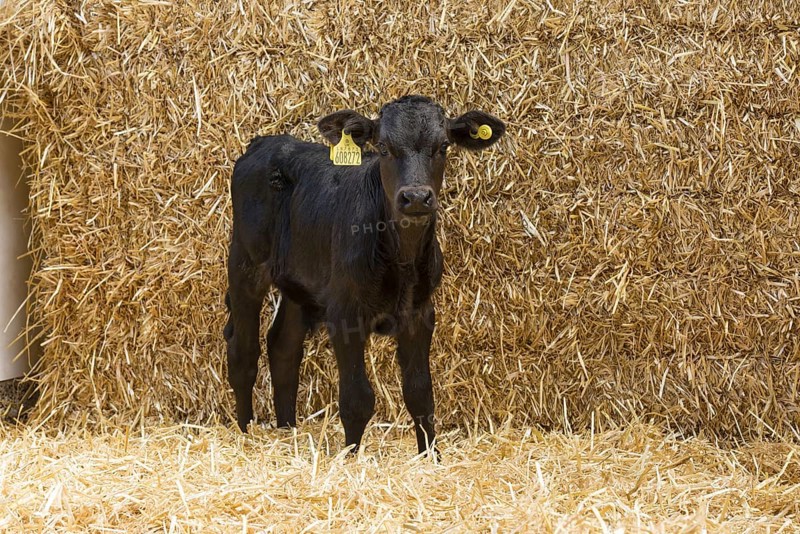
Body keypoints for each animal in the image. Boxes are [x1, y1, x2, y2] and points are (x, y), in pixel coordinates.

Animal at [224, 95, 505, 455]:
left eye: (443, 146)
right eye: (383, 147)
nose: (416, 197)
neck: (401, 258)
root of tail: (265, 142)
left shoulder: (421, 312)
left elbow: (420, 394)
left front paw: (431, 456)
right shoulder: (345, 312)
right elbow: (357, 399)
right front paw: (351, 457)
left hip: (300, 284)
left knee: (283, 347)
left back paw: (288, 431)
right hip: (245, 264)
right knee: (243, 353)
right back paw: (245, 432)